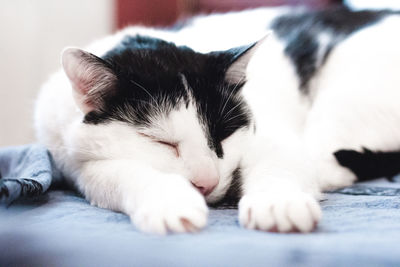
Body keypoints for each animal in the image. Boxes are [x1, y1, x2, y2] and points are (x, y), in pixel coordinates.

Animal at [33, 6, 400, 234]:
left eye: (222, 135)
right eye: (161, 142)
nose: (206, 183)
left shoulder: (275, 138)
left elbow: (282, 164)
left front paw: (277, 203)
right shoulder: (73, 163)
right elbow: (118, 173)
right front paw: (170, 203)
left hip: (346, 97)